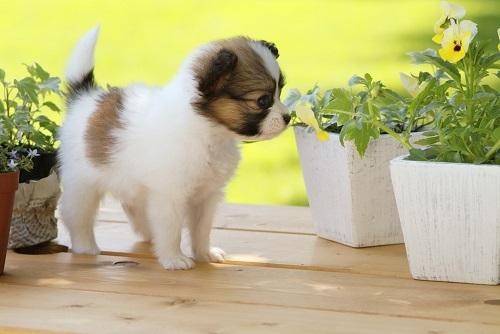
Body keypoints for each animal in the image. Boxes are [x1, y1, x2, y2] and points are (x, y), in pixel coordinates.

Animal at [58, 27, 290, 270]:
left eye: (279, 92)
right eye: (263, 100)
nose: (288, 117)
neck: (208, 131)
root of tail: (85, 99)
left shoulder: (206, 195)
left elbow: (202, 229)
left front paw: (204, 253)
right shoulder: (170, 195)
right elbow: (171, 230)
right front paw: (173, 258)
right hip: (82, 184)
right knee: (77, 215)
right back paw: (85, 246)